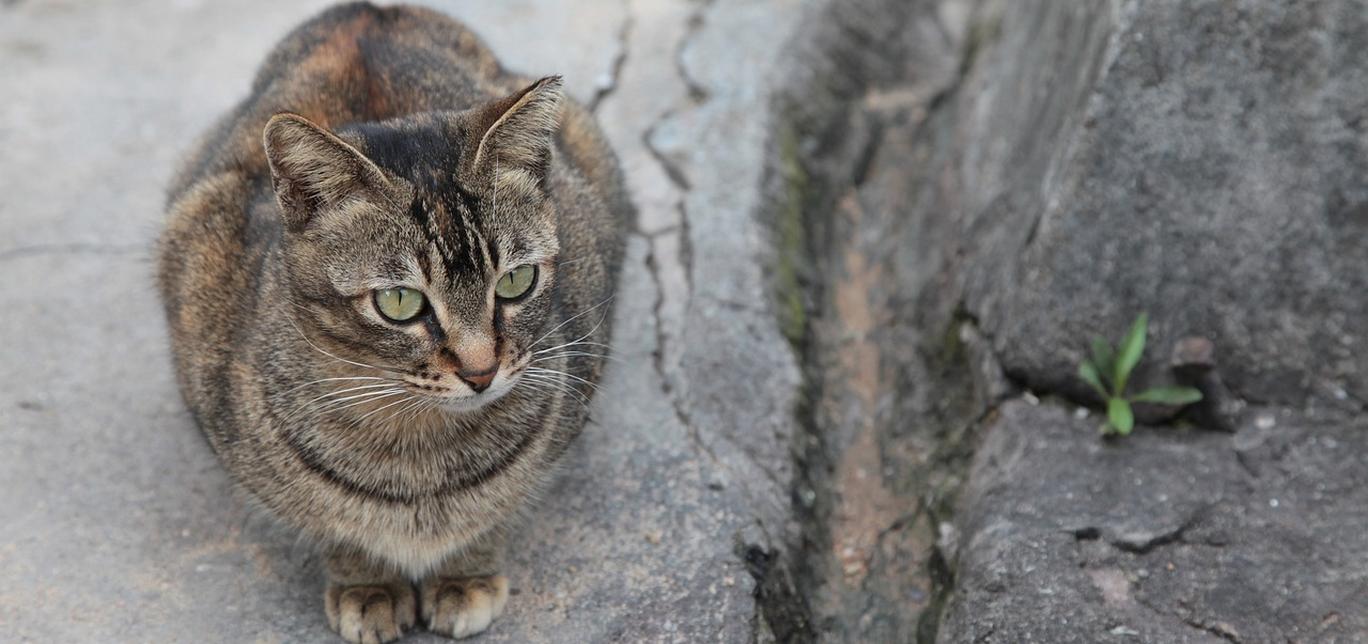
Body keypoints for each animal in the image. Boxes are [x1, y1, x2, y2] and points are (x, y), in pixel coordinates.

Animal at [156, 3, 629, 639]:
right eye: (400, 302)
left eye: (516, 282)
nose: (481, 371)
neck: (417, 454)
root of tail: (368, 11)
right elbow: (336, 526)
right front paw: (369, 585)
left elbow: (495, 510)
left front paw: (465, 574)